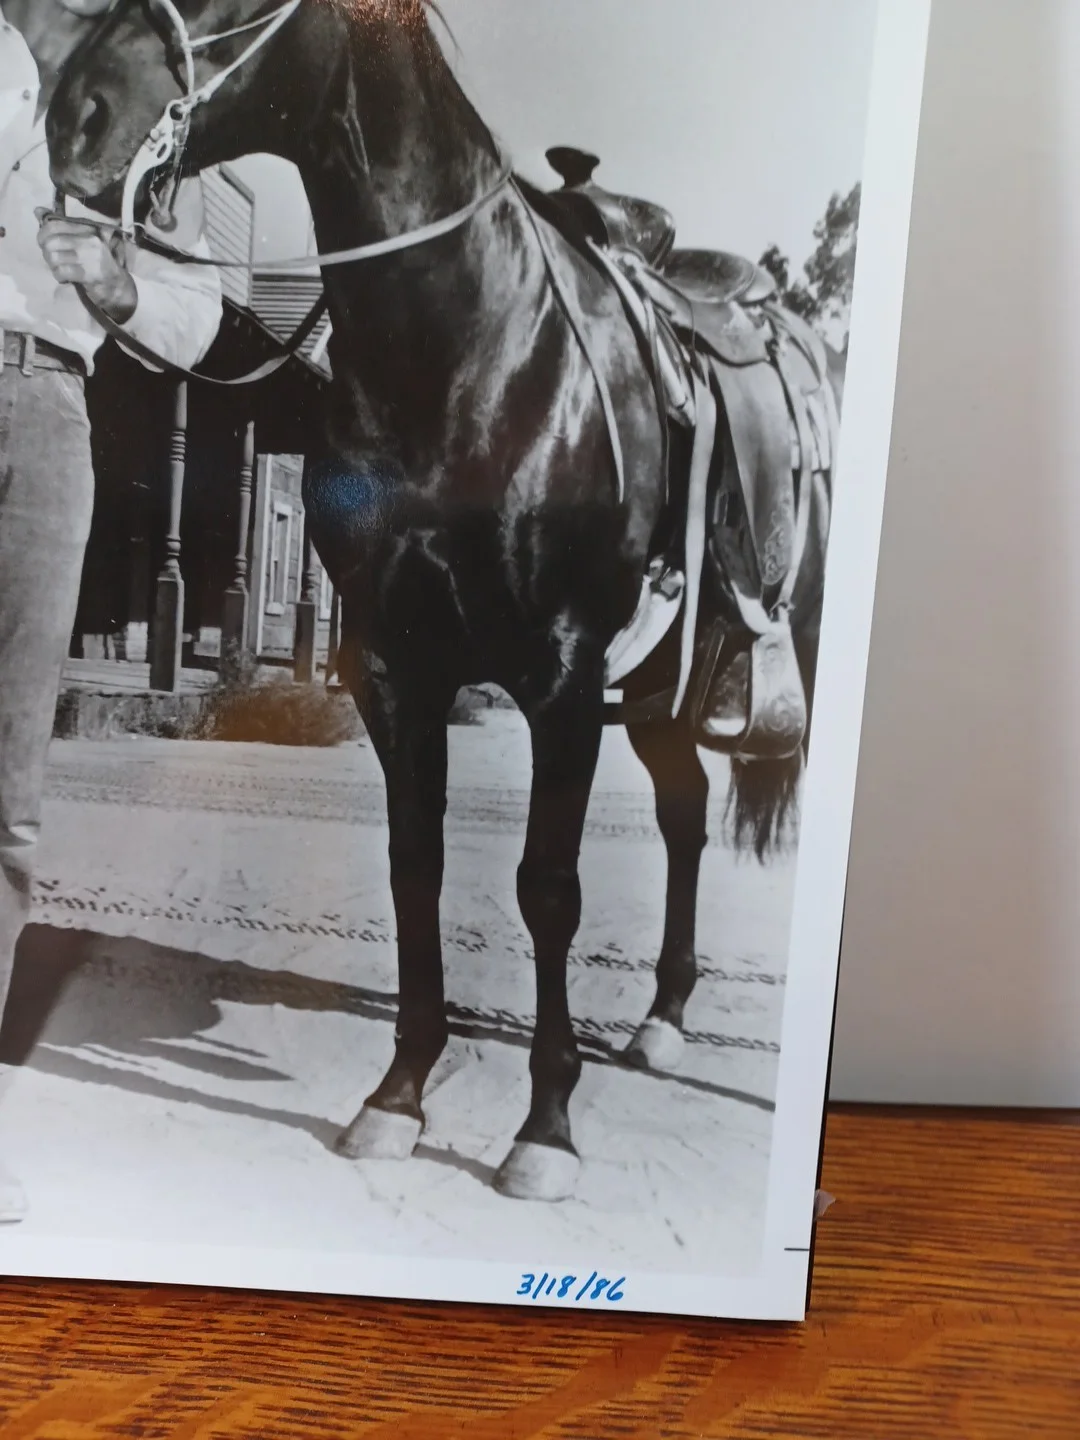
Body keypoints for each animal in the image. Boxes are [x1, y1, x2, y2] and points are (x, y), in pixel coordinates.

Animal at [47, 0, 833, 1202]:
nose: (71, 120)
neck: (474, 348)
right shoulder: (392, 670)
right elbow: (414, 866)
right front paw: (400, 1094)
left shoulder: (559, 677)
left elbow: (548, 888)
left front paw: (545, 1129)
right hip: (658, 689)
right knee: (685, 815)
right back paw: (661, 1019)